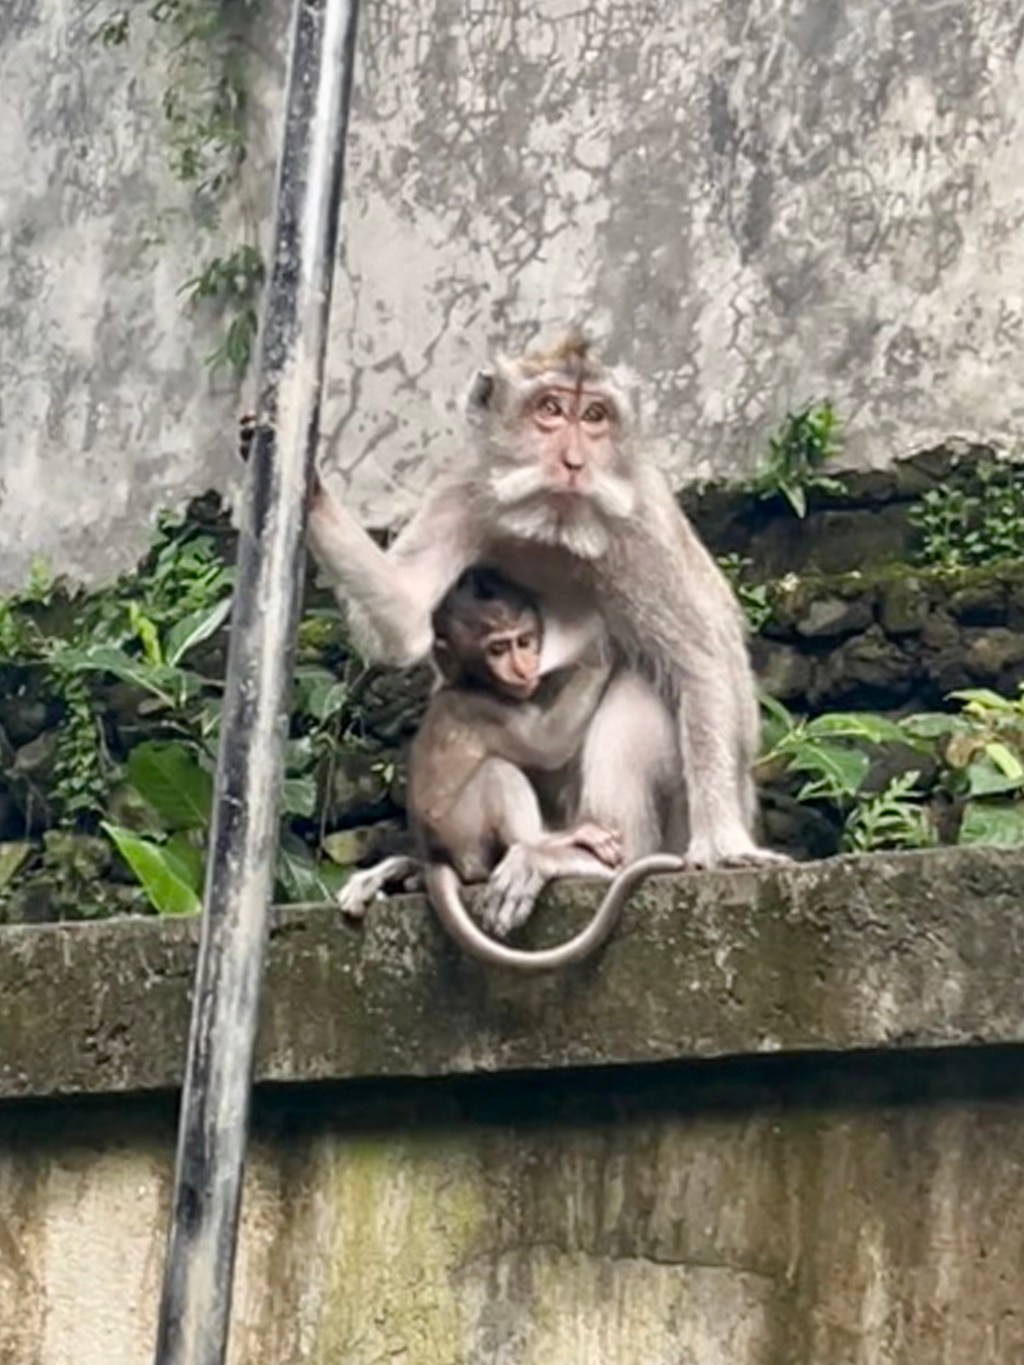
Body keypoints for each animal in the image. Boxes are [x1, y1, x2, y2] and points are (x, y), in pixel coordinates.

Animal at [337, 565, 684, 970]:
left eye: (525, 640)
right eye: (499, 648)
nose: (524, 667)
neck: (471, 680)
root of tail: (438, 854)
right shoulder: (488, 709)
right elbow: (550, 741)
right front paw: (602, 648)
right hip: (464, 833)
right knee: (497, 775)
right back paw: (546, 842)